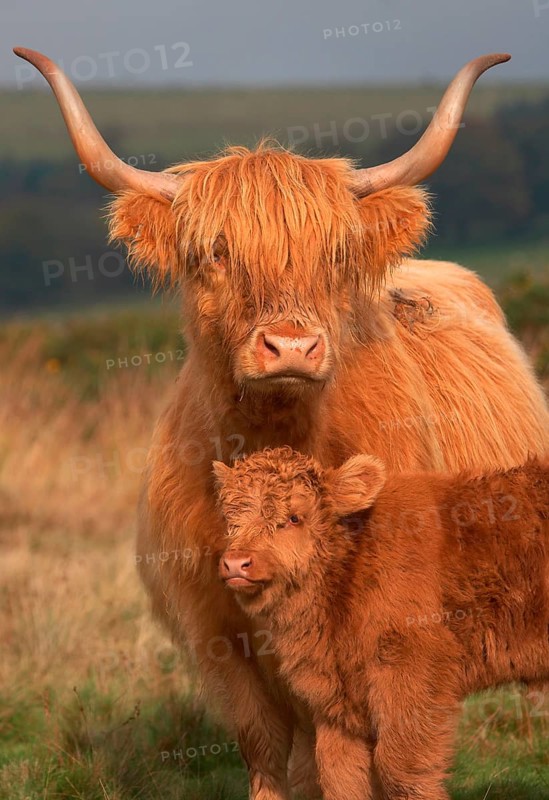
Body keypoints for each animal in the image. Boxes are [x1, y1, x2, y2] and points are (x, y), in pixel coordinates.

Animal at [215, 447, 549, 800]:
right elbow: (339, 775)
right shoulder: (337, 704)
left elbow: (400, 768)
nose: (236, 563)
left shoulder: (411, 674)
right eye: (229, 518)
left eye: (294, 517)